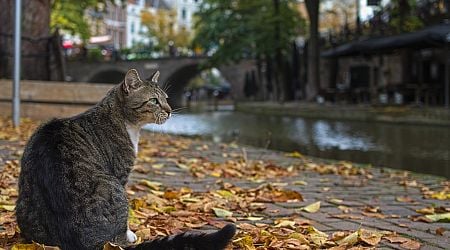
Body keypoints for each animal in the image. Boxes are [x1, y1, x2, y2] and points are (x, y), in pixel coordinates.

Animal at [15, 70, 236, 250]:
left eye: (166, 98)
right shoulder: (122, 174)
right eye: (154, 101)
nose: (170, 110)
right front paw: (130, 233)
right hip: (114, 188)